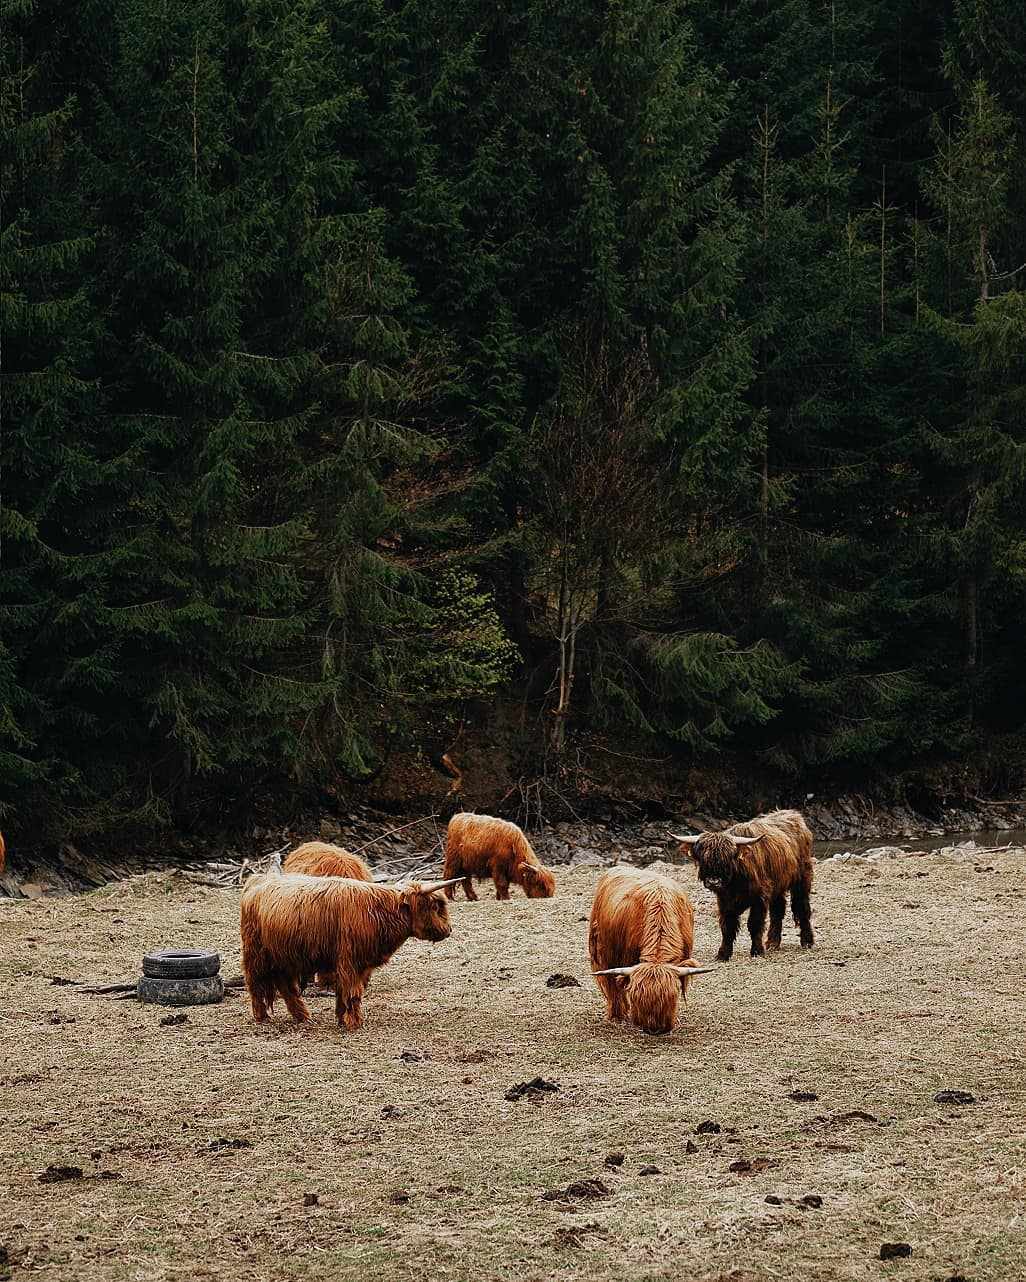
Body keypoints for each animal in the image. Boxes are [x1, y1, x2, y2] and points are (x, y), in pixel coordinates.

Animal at [241, 871, 456, 1030]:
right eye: (435, 906)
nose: (449, 930)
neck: (378, 912)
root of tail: (257, 879)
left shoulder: (359, 965)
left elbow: (342, 991)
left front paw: (341, 1018)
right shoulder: (350, 962)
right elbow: (352, 992)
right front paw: (355, 1022)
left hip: (283, 957)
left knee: (287, 987)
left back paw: (303, 1016)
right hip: (256, 954)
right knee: (254, 983)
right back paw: (262, 1015)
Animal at [589, 866, 707, 1035]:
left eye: (671, 998)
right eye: (637, 999)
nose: (654, 1029)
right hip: (603, 951)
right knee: (612, 985)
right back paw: (617, 1015)